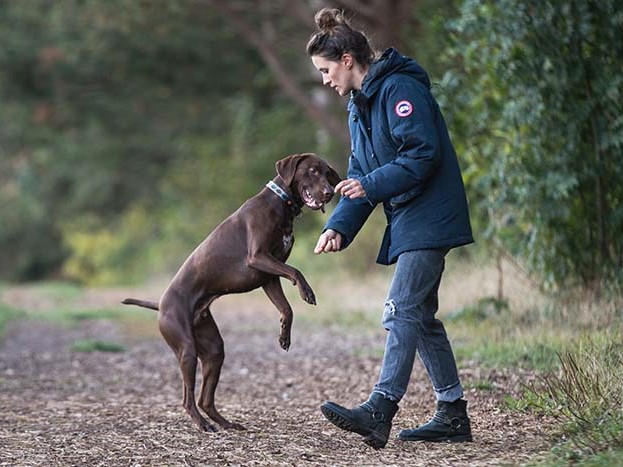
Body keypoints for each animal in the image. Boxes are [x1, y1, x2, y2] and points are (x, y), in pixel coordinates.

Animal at [122, 154, 342, 432]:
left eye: (327, 173)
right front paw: (307, 292)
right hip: (186, 348)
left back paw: (226, 424)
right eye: (312, 171)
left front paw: (284, 336)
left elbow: (286, 308)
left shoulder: (268, 276)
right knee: (187, 398)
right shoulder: (258, 258)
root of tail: (160, 304)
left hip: (213, 350)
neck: (280, 202)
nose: (329, 193)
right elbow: (296, 271)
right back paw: (203, 424)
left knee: (205, 399)